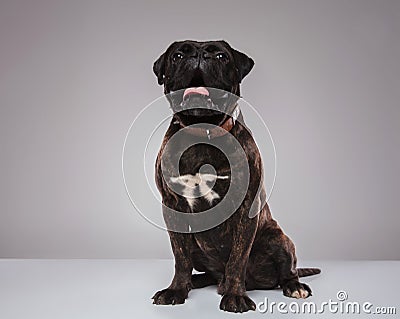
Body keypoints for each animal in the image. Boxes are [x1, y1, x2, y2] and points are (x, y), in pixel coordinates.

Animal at [152, 39, 320, 312]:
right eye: (178, 56)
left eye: (221, 56)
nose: (199, 56)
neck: (204, 130)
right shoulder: (173, 207)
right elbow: (180, 257)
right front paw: (176, 290)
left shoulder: (245, 207)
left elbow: (237, 258)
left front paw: (234, 296)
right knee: (200, 268)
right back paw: (195, 281)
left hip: (278, 239)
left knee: (287, 271)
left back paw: (294, 286)